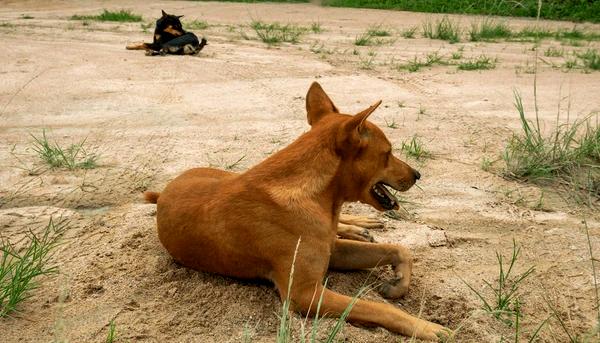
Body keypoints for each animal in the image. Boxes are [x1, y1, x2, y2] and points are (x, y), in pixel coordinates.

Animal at [145, 82, 450, 340]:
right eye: (388, 153)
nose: (418, 174)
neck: (314, 194)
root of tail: (164, 190)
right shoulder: (305, 294)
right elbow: (377, 307)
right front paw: (426, 327)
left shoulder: (333, 251)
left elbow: (399, 249)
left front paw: (399, 281)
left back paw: (360, 225)